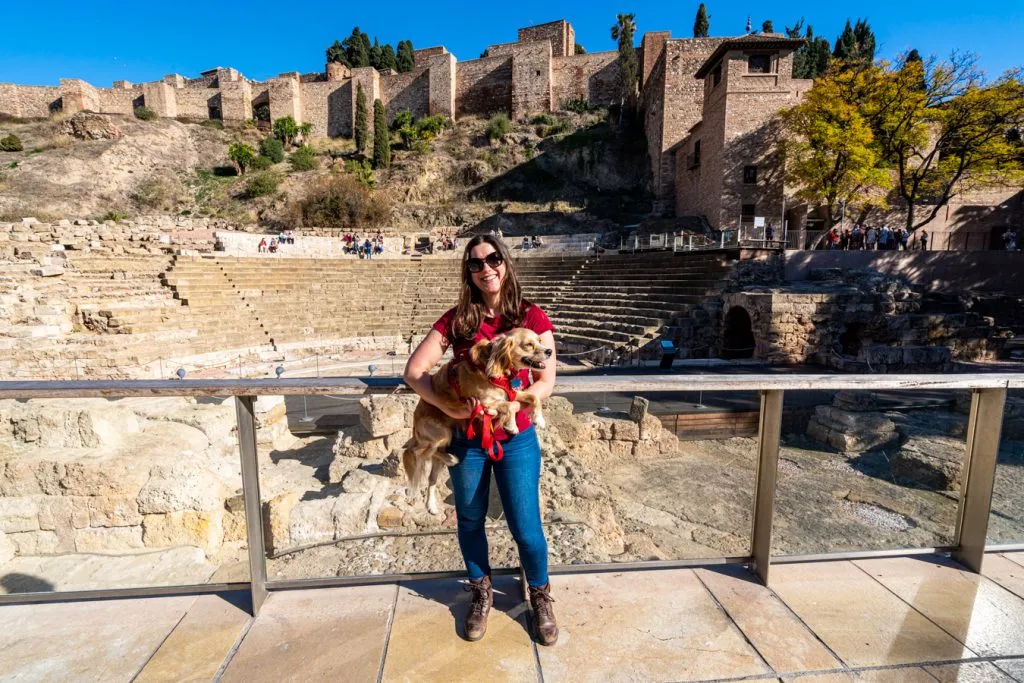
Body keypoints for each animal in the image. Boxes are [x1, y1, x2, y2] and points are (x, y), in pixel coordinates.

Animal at [405, 329, 557, 511]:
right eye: (528, 344)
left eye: (540, 340)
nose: (549, 351)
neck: (496, 369)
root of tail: (415, 425)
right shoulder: (485, 402)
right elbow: (511, 406)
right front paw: (511, 425)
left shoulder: (511, 393)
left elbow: (533, 398)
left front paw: (538, 419)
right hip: (441, 433)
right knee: (416, 451)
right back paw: (448, 459)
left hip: (441, 445)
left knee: (432, 474)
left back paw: (432, 504)